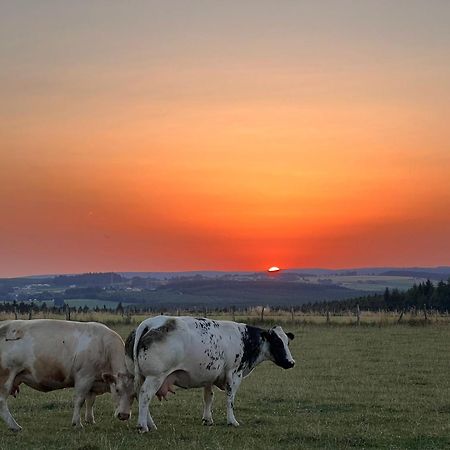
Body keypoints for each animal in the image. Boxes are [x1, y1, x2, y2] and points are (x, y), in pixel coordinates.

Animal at [0, 318, 134, 430]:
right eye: (117, 390)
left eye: (134, 394)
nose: (124, 415)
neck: (105, 347)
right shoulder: (84, 377)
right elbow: (80, 400)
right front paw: (77, 423)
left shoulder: (93, 382)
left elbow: (90, 401)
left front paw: (90, 420)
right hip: (6, 376)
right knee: (2, 401)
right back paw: (15, 426)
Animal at [126, 314, 296, 434]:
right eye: (277, 342)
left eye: (287, 342)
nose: (291, 362)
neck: (244, 338)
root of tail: (151, 323)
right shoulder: (234, 375)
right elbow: (230, 399)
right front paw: (232, 421)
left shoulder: (209, 377)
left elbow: (208, 398)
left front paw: (207, 419)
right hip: (155, 377)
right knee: (145, 396)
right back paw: (143, 426)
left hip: (141, 376)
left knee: (140, 395)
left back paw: (150, 424)